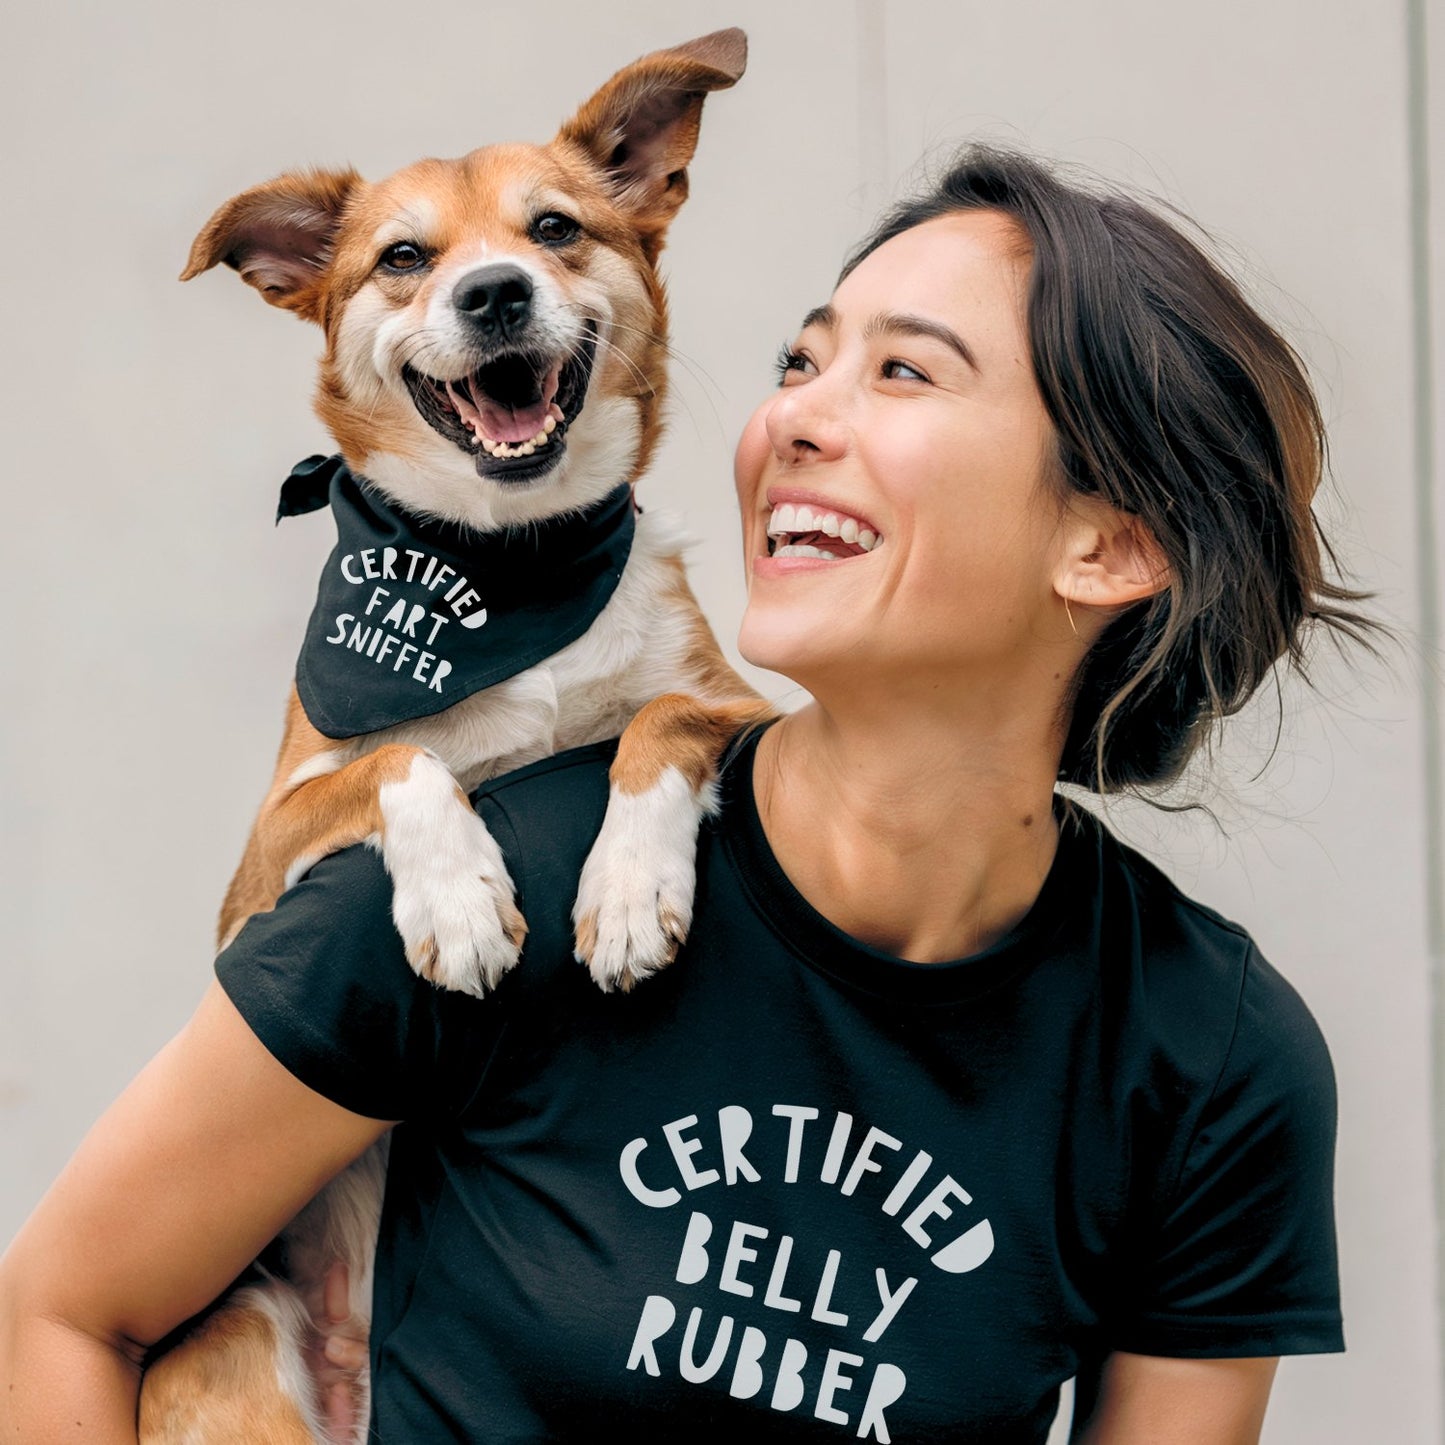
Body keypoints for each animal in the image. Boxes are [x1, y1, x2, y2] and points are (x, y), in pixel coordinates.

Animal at [137, 28, 780, 1439]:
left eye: (554, 230)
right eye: (402, 257)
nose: (492, 293)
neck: (506, 563)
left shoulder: (750, 703)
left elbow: (658, 712)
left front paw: (627, 889)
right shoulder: (263, 852)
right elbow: (405, 754)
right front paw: (462, 901)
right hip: (245, 1345)